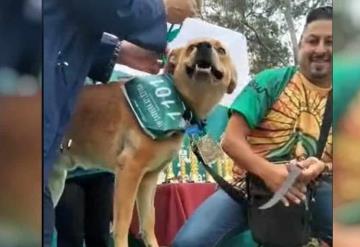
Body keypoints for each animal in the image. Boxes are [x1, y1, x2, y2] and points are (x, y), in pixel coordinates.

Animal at [49, 37, 238, 246]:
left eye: (221, 50)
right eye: (191, 47)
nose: (204, 47)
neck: (176, 101)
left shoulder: (148, 179)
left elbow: (148, 222)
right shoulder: (129, 170)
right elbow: (122, 225)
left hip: (55, 182)